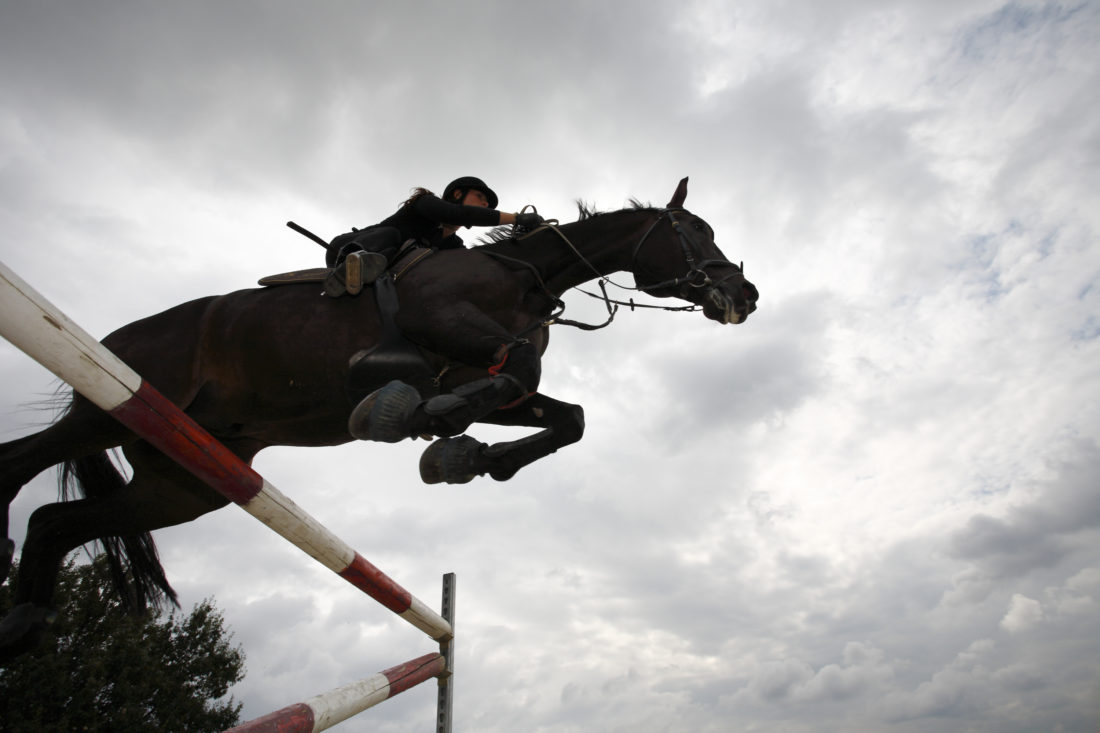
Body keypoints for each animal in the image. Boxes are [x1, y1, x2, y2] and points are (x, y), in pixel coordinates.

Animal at [0, 177, 756, 655]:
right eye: (692, 231)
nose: (744, 294)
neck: (526, 277)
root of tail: (116, 337)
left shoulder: (495, 382)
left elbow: (564, 414)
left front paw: (460, 453)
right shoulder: (446, 325)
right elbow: (516, 367)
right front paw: (423, 417)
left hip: (184, 482)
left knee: (56, 522)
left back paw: (28, 622)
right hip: (112, 407)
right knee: (18, 465)